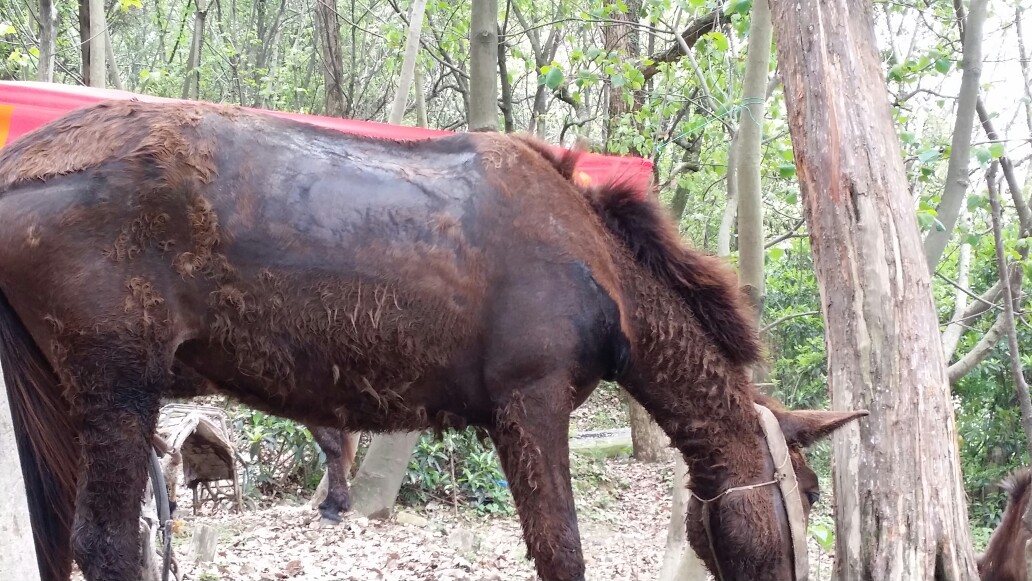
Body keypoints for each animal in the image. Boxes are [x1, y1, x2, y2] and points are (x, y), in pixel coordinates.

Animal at [0, 100, 866, 581]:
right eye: (810, 492)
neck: (599, 264)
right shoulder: (532, 408)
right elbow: (563, 553)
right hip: (116, 387)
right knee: (107, 546)